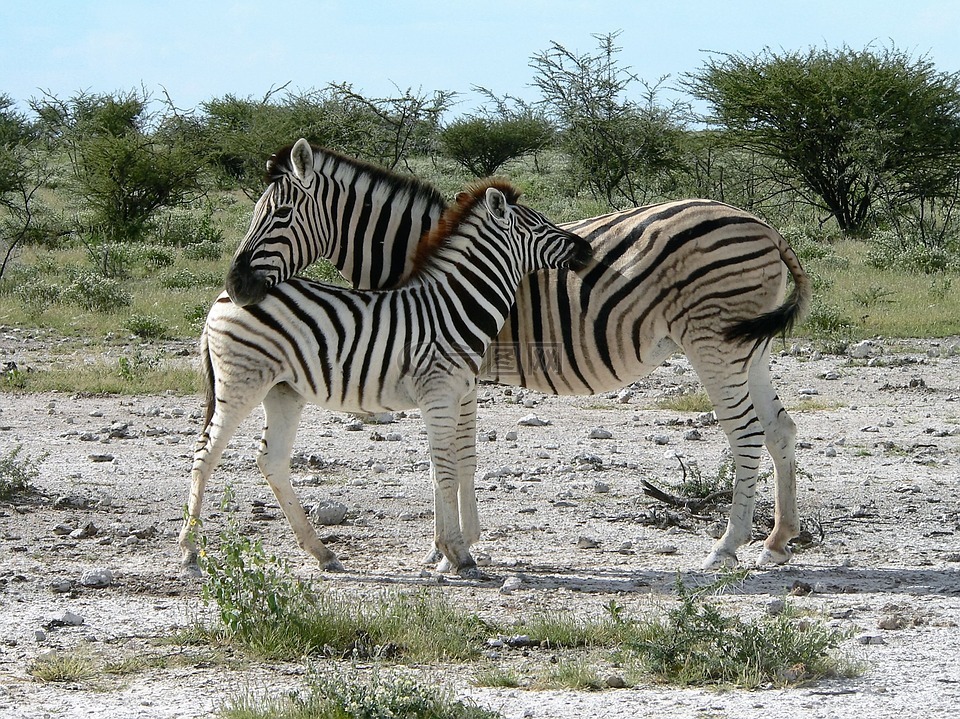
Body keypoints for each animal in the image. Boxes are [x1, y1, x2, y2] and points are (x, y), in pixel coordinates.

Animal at [176, 180, 588, 580]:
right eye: (538, 225)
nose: (584, 249)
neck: (455, 306)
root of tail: (222, 297)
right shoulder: (438, 394)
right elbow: (446, 470)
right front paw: (458, 555)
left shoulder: (456, 394)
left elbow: (446, 467)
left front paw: (447, 550)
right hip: (240, 384)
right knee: (205, 455)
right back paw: (190, 554)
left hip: (283, 391)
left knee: (271, 460)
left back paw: (322, 553)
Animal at [225, 138, 808, 572]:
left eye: (279, 214)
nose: (235, 287)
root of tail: (767, 227)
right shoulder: (454, 374)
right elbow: (461, 455)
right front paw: (458, 544)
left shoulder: (450, 371)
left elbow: (451, 456)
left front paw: (448, 550)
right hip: (748, 346)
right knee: (779, 428)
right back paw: (777, 541)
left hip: (712, 341)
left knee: (745, 432)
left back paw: (726, 547)